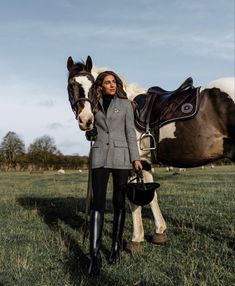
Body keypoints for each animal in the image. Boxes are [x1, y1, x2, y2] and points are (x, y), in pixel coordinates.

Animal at [66, 56, 235, 252]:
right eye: (71, 86)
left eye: (93, 86)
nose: (86, 120)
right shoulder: (144, 163)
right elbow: (151, 195)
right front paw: (159, 232)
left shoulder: (131, 163)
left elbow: (134, 203)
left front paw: (136, 239)